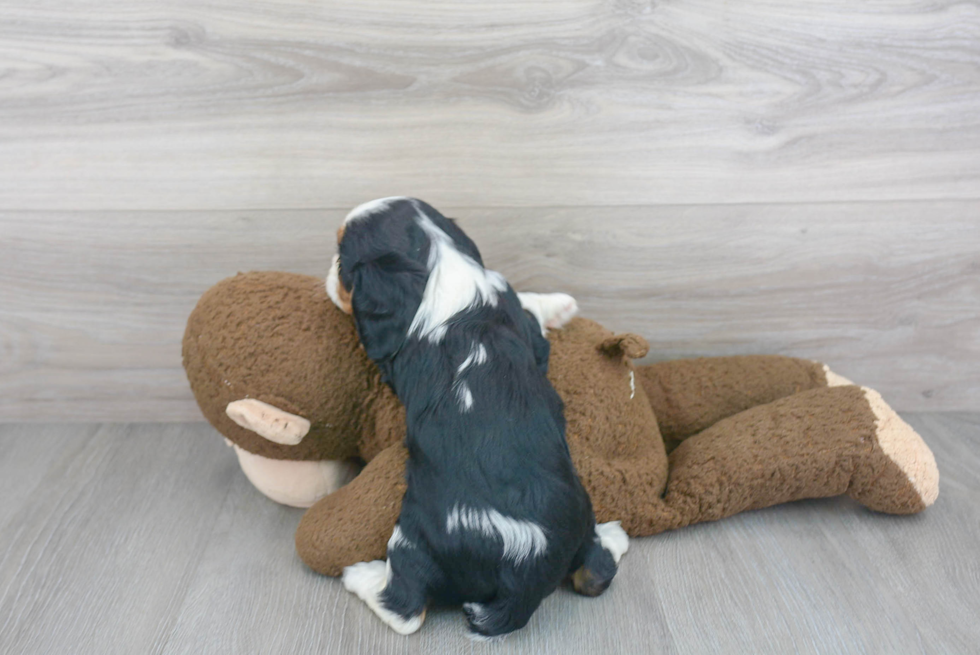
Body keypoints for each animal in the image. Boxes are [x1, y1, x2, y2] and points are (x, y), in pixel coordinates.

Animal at [324, 199, 628, 640]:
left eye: (341, 259)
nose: (328, 274)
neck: (440, 263)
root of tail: (524, 566)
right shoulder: (522, 324)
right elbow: (530, 312)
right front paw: (560, 304)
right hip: (580, 517)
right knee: (597, 571)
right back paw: (615, 536)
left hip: (414, 541)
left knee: (406, 610)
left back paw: (360, 576)